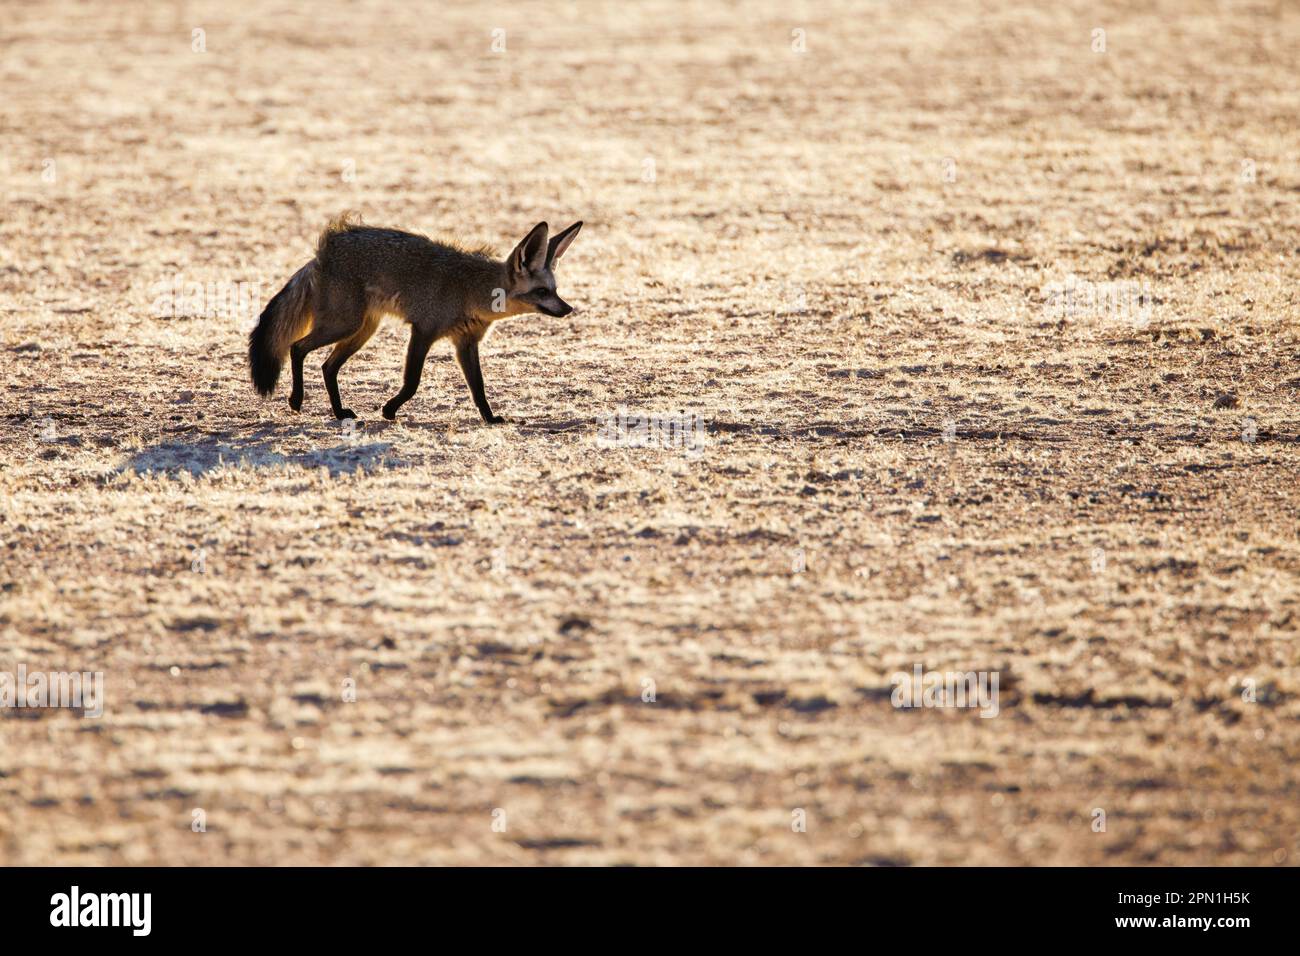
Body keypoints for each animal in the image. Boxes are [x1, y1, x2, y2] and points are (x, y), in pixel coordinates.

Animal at [248, 221, 585, 426]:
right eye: (542, 292)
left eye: (555, 290)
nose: (568, 309)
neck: (472, 290)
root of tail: (324, 250)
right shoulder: (423, 330)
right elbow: (412, 382)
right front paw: (389, 410)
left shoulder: (466, 343)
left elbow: (478, 388)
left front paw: (490, 419)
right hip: (344, 324)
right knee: (297, 347)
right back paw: (296, 399)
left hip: (362, 331)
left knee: (327, 366)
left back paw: (339, 411)